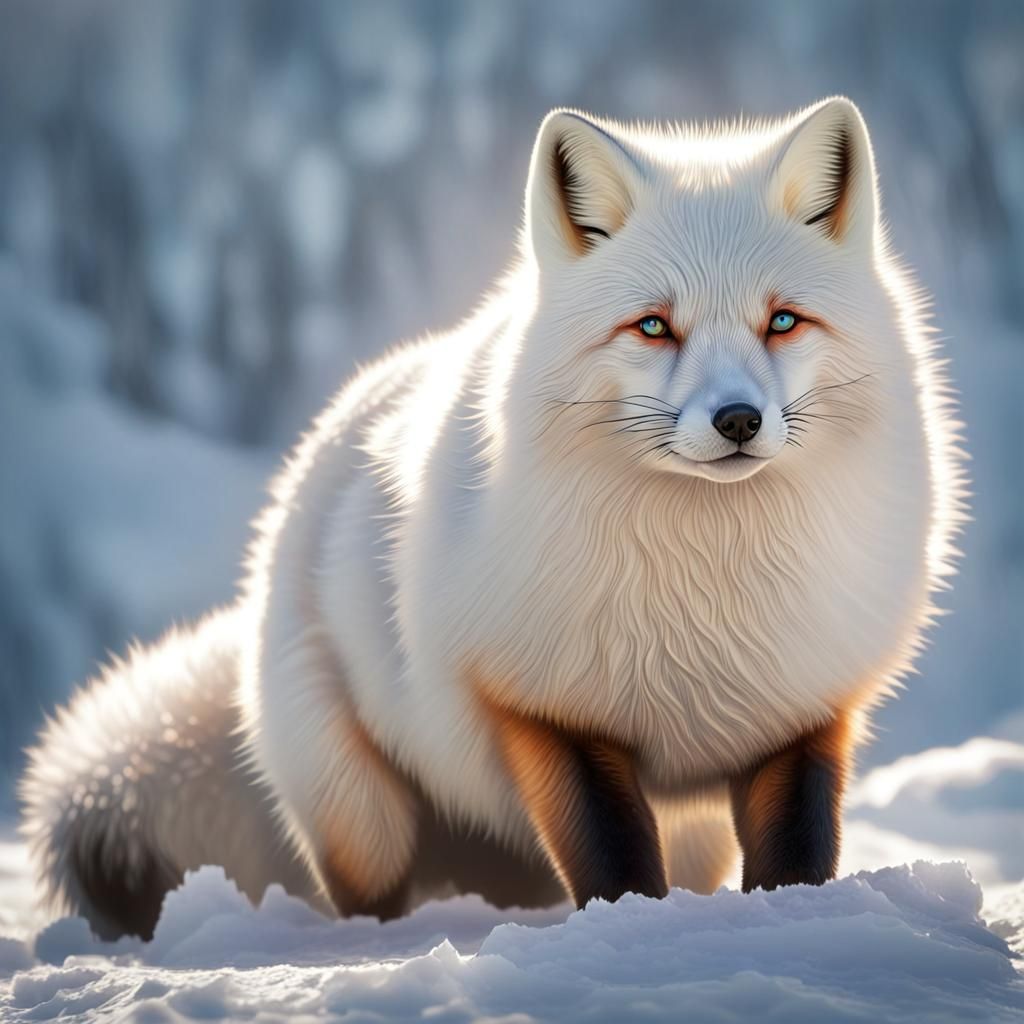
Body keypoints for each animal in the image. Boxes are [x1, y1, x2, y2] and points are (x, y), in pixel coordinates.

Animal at [20, 97, 965, 940]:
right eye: (654, 327)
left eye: (783, 322)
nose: (738, 420)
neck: (705, 597)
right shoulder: (544, 710)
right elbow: (613, 858)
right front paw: (632, 938)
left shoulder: (801, 713)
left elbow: (797, 855)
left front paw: (793, 925)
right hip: (364, 819)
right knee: (365, 897)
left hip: (686, 834)